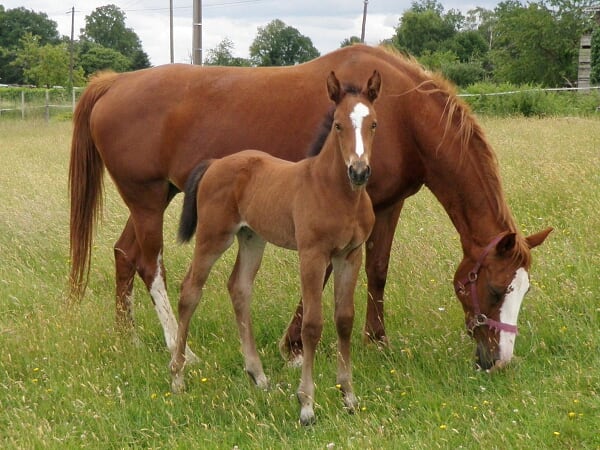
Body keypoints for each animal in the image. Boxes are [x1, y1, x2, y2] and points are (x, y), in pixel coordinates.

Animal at [68, 44, 552, 370]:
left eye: (523, 291)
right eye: (496, 290)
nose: (501, 360)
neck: (402, 116)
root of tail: (115, 83)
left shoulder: (388, 206)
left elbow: (377, 270)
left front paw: (377, 342)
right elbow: (320, 276)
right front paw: (295, 348)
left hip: (156, 197)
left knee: (124, 253)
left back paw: (127, 337)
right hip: (148, 200)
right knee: (150, 264)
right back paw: (178, 348)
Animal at [170, 71, 380, 426]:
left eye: (374, 123)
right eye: (338, 125)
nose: (359, 171)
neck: (335, 192)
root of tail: (214, 163)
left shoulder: (350, 255)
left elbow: (344, 319)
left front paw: (349, 397)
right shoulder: (312, 255)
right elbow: (312, 324)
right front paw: (306, 404)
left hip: (252, 237)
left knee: (239, 287)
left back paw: (258, 375)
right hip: (213, 237)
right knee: (190, 291)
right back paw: (177, 377)